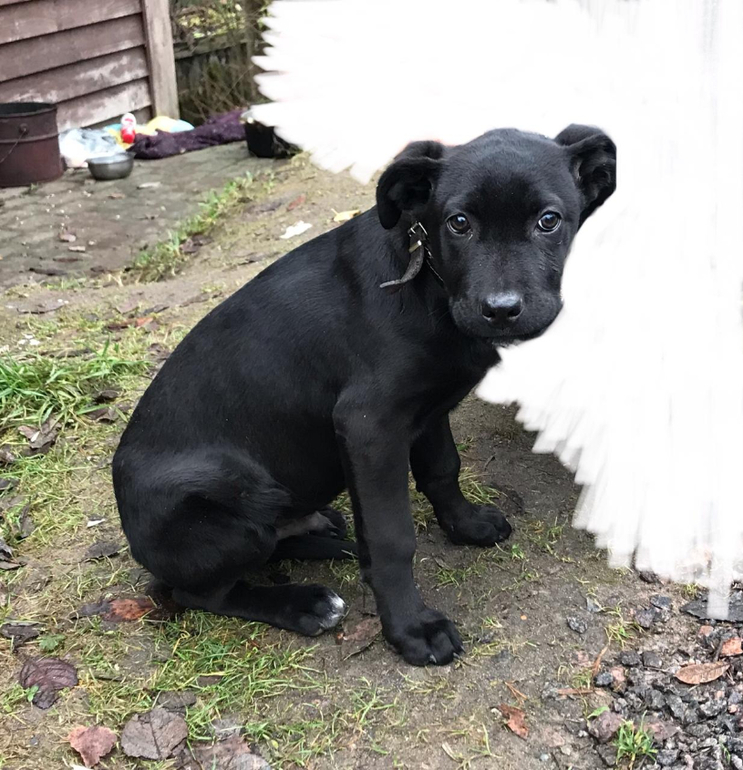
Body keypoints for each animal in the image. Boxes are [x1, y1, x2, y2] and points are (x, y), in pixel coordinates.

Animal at [113, 125, 616, 666]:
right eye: (458, 223)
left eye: (549, 221)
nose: (501, 310)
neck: (427, 283)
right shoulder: (370, 427)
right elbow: (392, 537)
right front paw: (411, 628)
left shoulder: (427, 410)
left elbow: (442, 470)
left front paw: (465, 525)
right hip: (227, 507)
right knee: (198, 591)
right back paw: (304, 603)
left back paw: (329, 539)